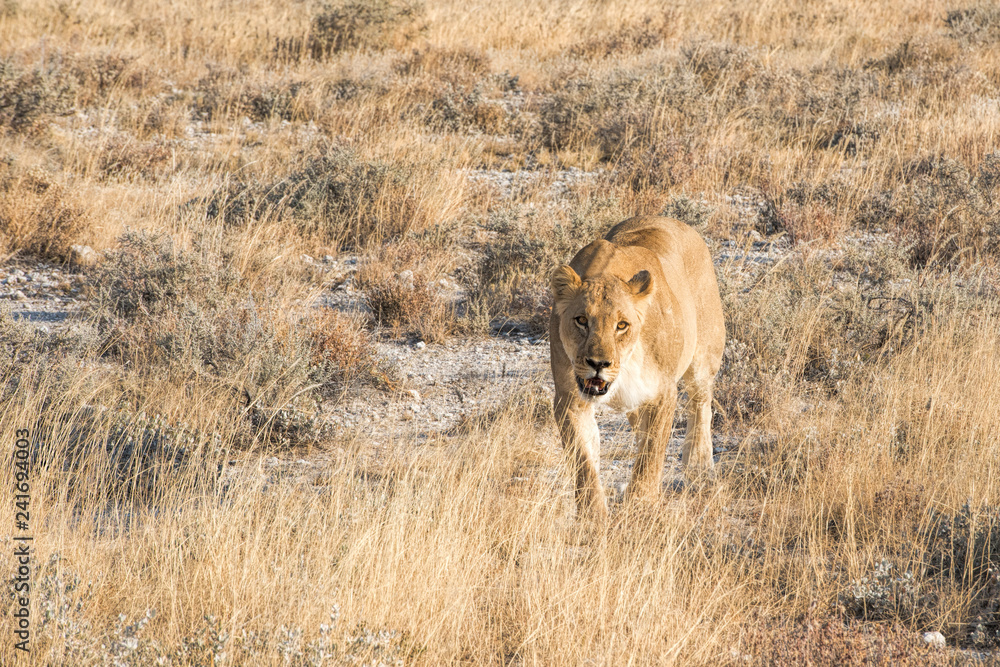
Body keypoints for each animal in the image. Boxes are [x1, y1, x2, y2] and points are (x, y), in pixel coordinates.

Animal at [549, 215, 725, 521]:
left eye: (622, 325)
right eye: (581, 320)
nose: (598, 364)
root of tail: (673, 220)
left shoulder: (662, 394)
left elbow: (651, 456)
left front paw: (640, 508)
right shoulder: (570, 399)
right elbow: (584, 461)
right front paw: (593, 517)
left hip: (704, 355)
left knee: (701, 404)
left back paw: (700, 470)